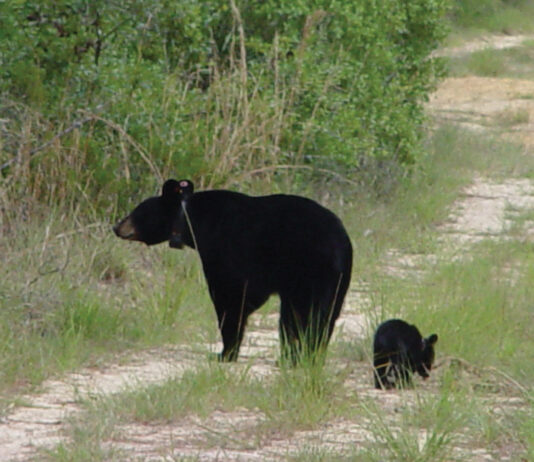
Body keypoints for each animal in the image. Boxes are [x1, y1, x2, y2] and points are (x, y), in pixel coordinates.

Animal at [113, 180, 354, 364]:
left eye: (136, 211)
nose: (116, 227)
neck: (192, 221)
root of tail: (342, 244)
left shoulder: (225, 250)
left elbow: (230, 297)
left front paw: (224, 353)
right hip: (337, 282)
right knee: (322, 317)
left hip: (308, 273)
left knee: (302, 315)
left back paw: (296, 357)